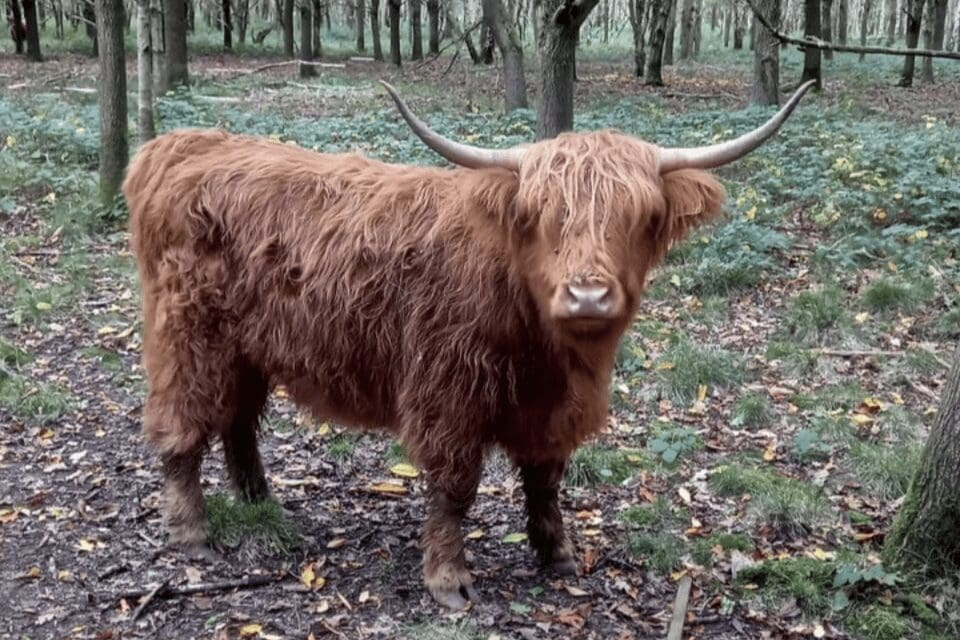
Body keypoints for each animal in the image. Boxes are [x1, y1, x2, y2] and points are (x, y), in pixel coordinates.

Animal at [123, 80, 814, 609]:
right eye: (540, 215)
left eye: (641, 218)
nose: (589, 296)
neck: (548, 350)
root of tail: (181, 145)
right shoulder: (447, 394)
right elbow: (455, 490)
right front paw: (449, 580)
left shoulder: (549, 409)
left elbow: (545, 479)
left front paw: (556, 554)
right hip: (190, 337)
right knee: (181, 428)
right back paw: (191, 533)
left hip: (250, 347)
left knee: (238, 421)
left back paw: (262, 502)